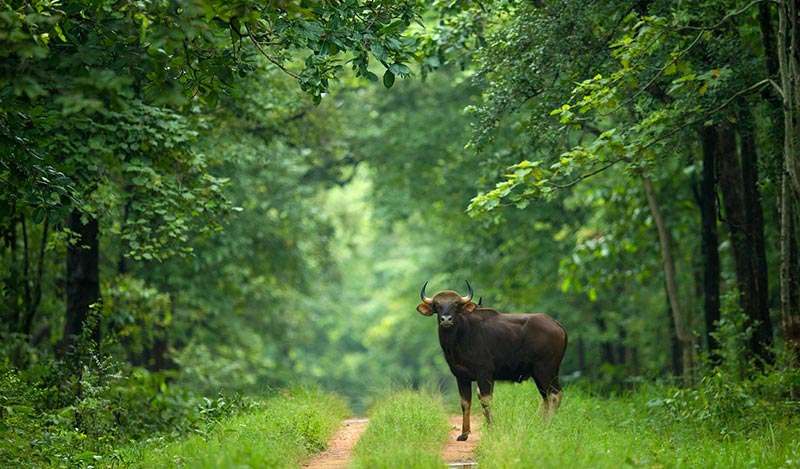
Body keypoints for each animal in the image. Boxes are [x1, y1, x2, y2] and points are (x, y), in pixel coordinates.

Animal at [416, 282, 564, 438]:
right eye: (437, 306)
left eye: (455, 305)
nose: (446, 319)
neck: (461, 336)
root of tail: (557, 325)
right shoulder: (461, 376)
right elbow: (465, 402)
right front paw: (464, 433)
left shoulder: (484, 373)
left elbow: (486, 400)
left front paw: (491, 428)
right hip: (539, 374)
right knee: (546, 397)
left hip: (546, 370)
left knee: (555, 394)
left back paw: (547, 425)